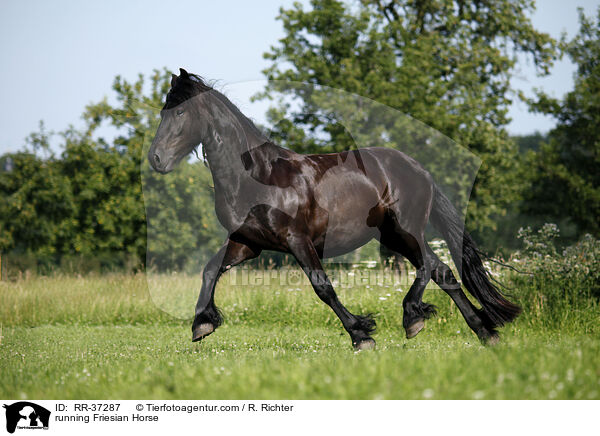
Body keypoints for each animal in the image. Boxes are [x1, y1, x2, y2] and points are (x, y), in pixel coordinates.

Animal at [148, 69, 516, 350]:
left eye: (180, 112)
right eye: (164, 111)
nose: (156, 159)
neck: (256, 177)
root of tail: (418, 169)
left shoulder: (297, 240)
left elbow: (322, 286)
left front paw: (362, 334)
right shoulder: (247, 242)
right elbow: (210, 269)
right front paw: (202, 324)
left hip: (404, 231)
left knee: (429, 268)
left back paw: (415, 317)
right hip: (395, 236)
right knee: (442, 271)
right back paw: (483, 332)